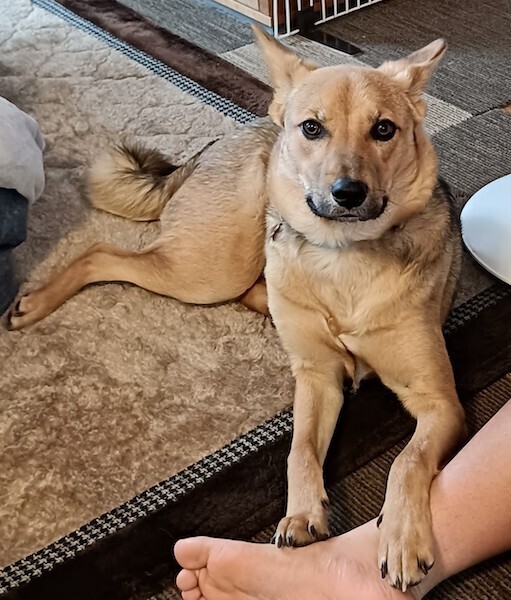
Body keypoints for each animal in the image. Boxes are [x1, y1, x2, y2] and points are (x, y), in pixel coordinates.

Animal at [8, 27, 465, 591]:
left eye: (384, 130)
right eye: (312, 127)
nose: (347, 193)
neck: (343, 260)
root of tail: (216, 146)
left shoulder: (440, 403)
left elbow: (407, 460)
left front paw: (400, 538)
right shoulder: (317, 378)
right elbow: (300, 449)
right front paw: (301, 512)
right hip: (209, 268)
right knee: (101, 252)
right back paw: (37, 301)